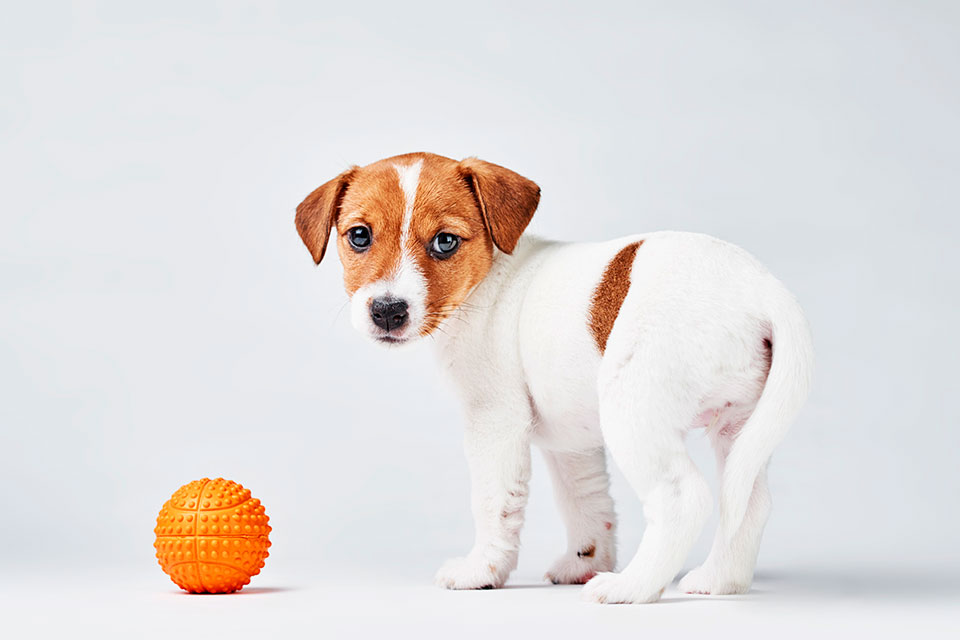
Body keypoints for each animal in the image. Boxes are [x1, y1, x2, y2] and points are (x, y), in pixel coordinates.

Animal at [292, 152, 808, 604]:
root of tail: (762, 291)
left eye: (445, 242)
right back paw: (720, 581)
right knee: (748, 501)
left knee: (683, 498)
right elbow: (587, 502)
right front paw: (586, 562)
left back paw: (631, 588)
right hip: (740, 426)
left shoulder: (495, 423)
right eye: (359, 236)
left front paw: (482, 571)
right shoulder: (571, 442)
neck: (490, 280)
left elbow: (494, 502)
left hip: (632, 411)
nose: (387, 311)